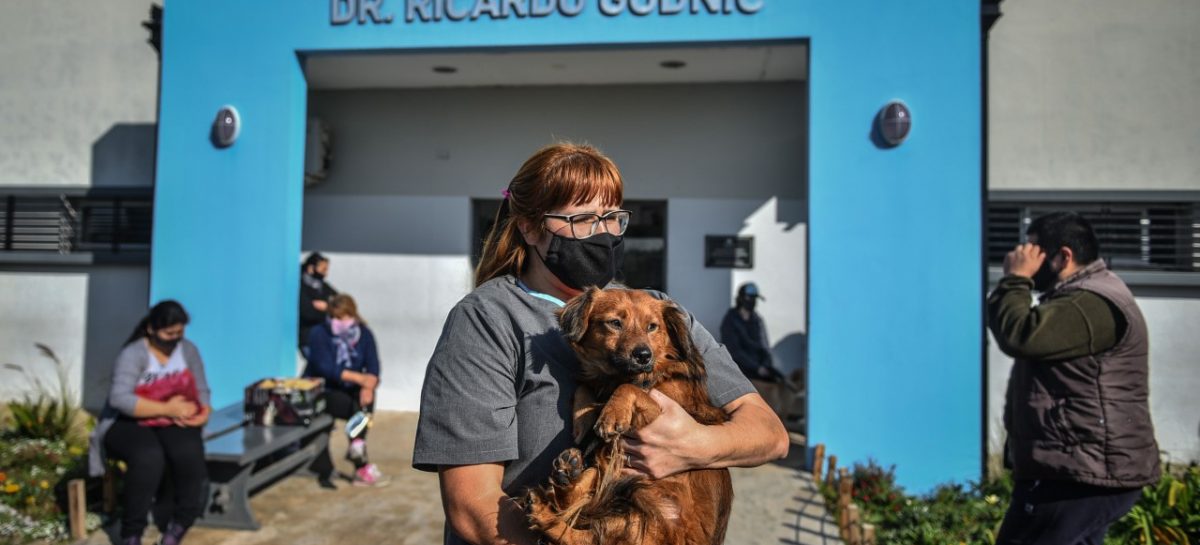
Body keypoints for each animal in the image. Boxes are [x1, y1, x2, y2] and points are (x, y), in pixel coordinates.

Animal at [525, 286, 729, 542]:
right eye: (615, 323)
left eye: (652, 326)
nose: (643, 355)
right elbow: (585, 386)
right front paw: (584, 418)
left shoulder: (667, 415)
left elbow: (628, 389)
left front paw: (612, 414)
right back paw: (564, 479)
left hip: (640, 518)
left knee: (583, 537)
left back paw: (546, 510)